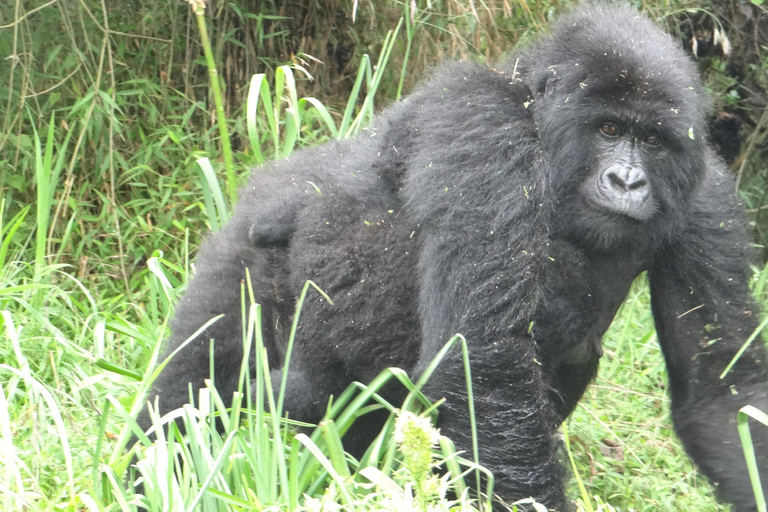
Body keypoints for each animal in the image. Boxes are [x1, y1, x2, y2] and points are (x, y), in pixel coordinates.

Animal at [141, 4, 768, 512]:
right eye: (609, 129)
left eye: (653, 141)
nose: (627, 180)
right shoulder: (486, 129)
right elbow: (483, 365)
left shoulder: (707, 193)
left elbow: (721, 389)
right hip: (244, 255)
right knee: (201, 379)